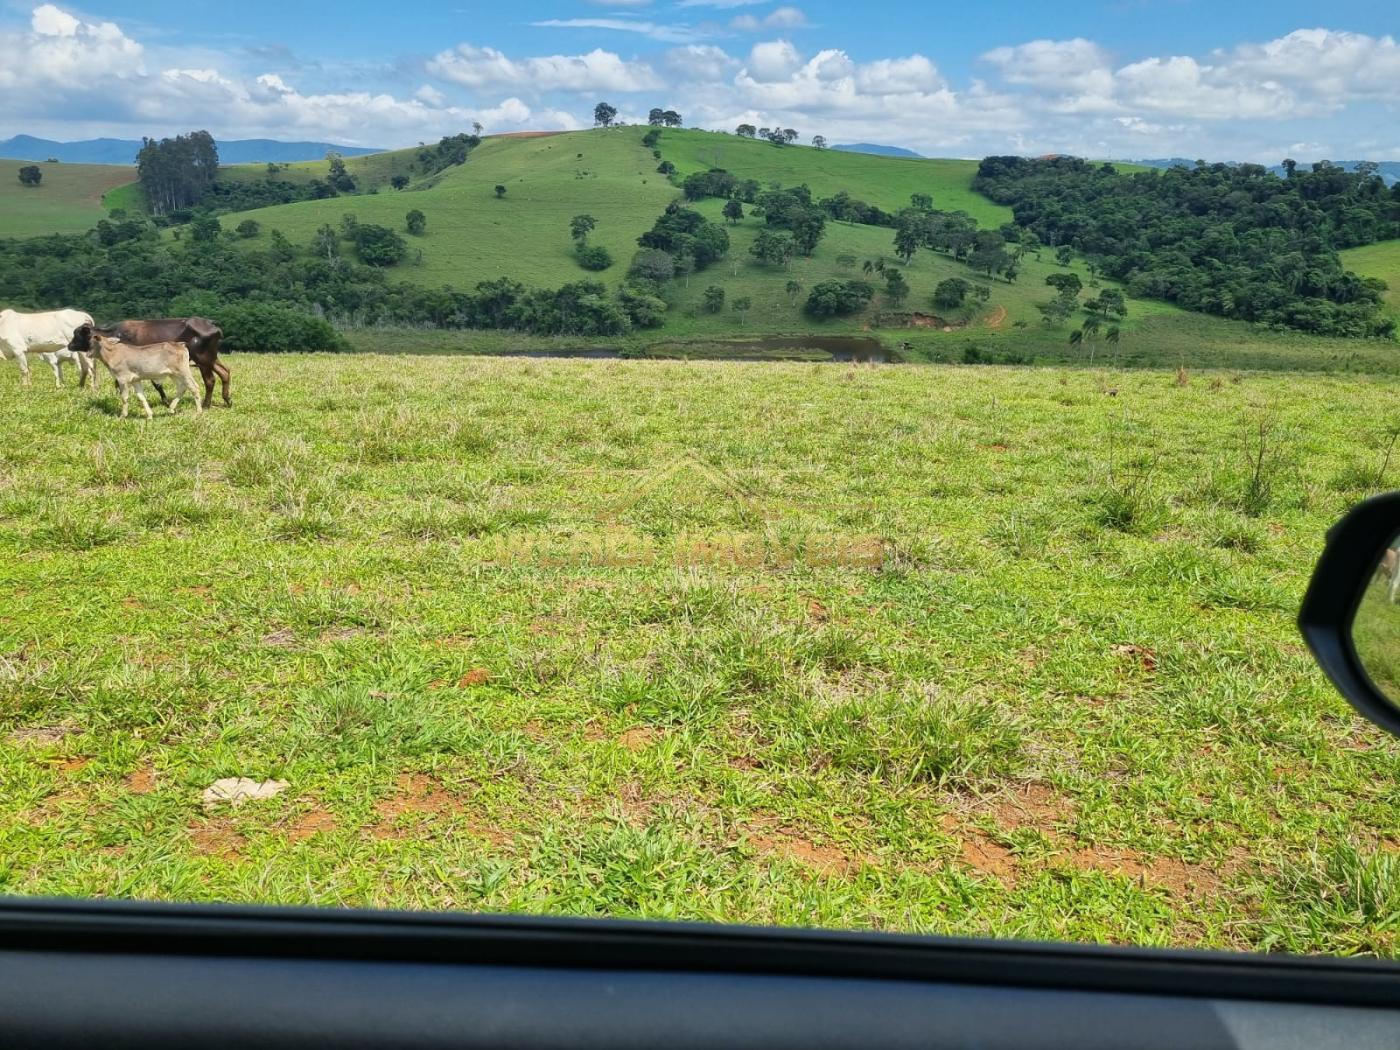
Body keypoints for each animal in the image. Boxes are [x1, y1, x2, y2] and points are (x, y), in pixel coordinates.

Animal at [69, 316, 229, 406]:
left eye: (78, 334)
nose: (69, 346)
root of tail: (211, 323)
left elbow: (156, 384)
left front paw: (165, 401)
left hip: (203, 360)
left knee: (210, 380)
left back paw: (206, 404)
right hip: (211, 358)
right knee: (225, 372)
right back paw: (227, 399)